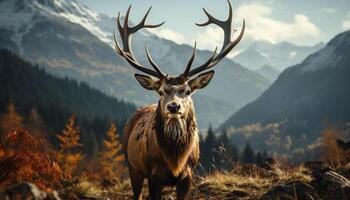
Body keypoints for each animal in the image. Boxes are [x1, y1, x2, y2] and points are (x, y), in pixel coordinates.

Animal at [113, 0, 245, 199]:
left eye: (188, 91)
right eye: (160, 91)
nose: (173, 107)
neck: (175, 160)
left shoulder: (188, 175)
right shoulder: (153, 176)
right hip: (132, 165)